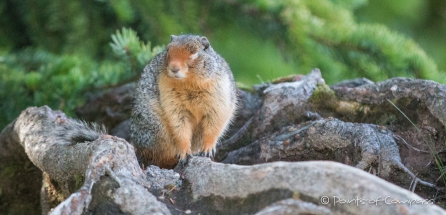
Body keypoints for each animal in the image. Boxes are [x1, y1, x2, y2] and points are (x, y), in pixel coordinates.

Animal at [131, 34, 237, 168]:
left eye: (194, 53)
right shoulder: (171, 100)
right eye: (167, 51)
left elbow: (214, 124)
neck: (189, 82)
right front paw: (185, 153)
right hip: (154, 131)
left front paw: (207, 149)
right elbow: (180, 127)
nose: (174, 68)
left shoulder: (219, 98)